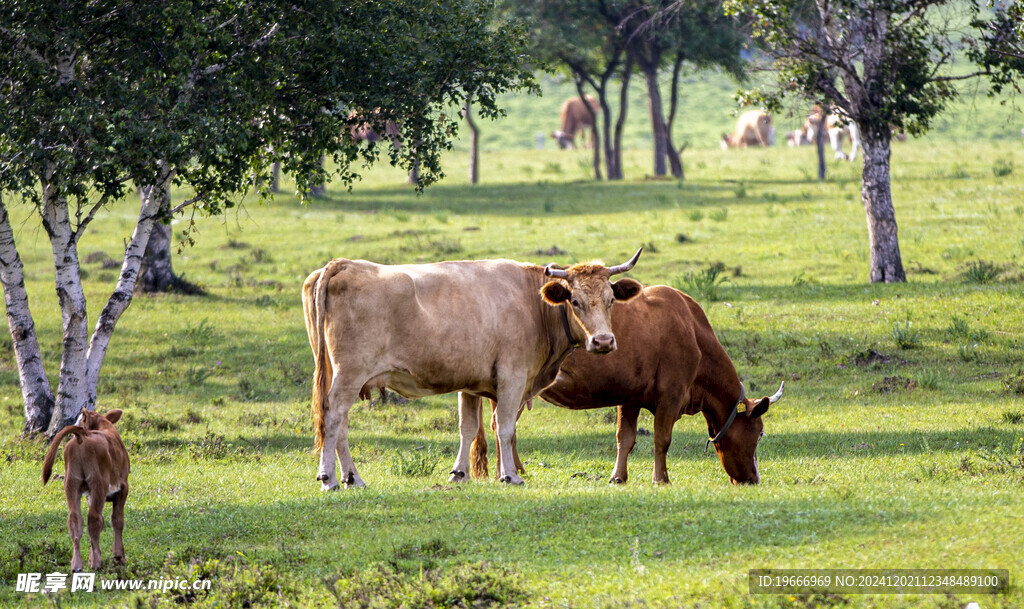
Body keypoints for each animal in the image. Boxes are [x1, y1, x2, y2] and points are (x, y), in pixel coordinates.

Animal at [42, 409, 130, 573]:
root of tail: (81, 436)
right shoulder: (123, 488)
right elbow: (117, 520)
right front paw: (119, 556)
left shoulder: (89, 494)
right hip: (98, 483)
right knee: (94, 518)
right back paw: (96, 562)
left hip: (71, 483)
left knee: (75, 519)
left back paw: (77, 564)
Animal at [299, 247, 643, 491]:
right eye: (574, 301)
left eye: (611, 299)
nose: (603, 341)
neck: (531, 303)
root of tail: (343, 263)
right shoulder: (512, 377)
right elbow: (504, 427)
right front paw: (510, 476)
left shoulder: (470, 383)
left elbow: (467, 428)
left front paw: (459, 474)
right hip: (349, 374)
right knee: (333, 417)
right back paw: (330, 478)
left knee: (340, 423)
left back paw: (352, 477)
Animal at [471, 284, 782, 485]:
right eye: (760, 434)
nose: (754, 479)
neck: (694, 333)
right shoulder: (670, 396)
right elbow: (661, 439)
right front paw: (661, 479)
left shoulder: (631, 396)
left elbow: (626, 438)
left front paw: (618, 477)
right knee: (501, 424)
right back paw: (507, 472)